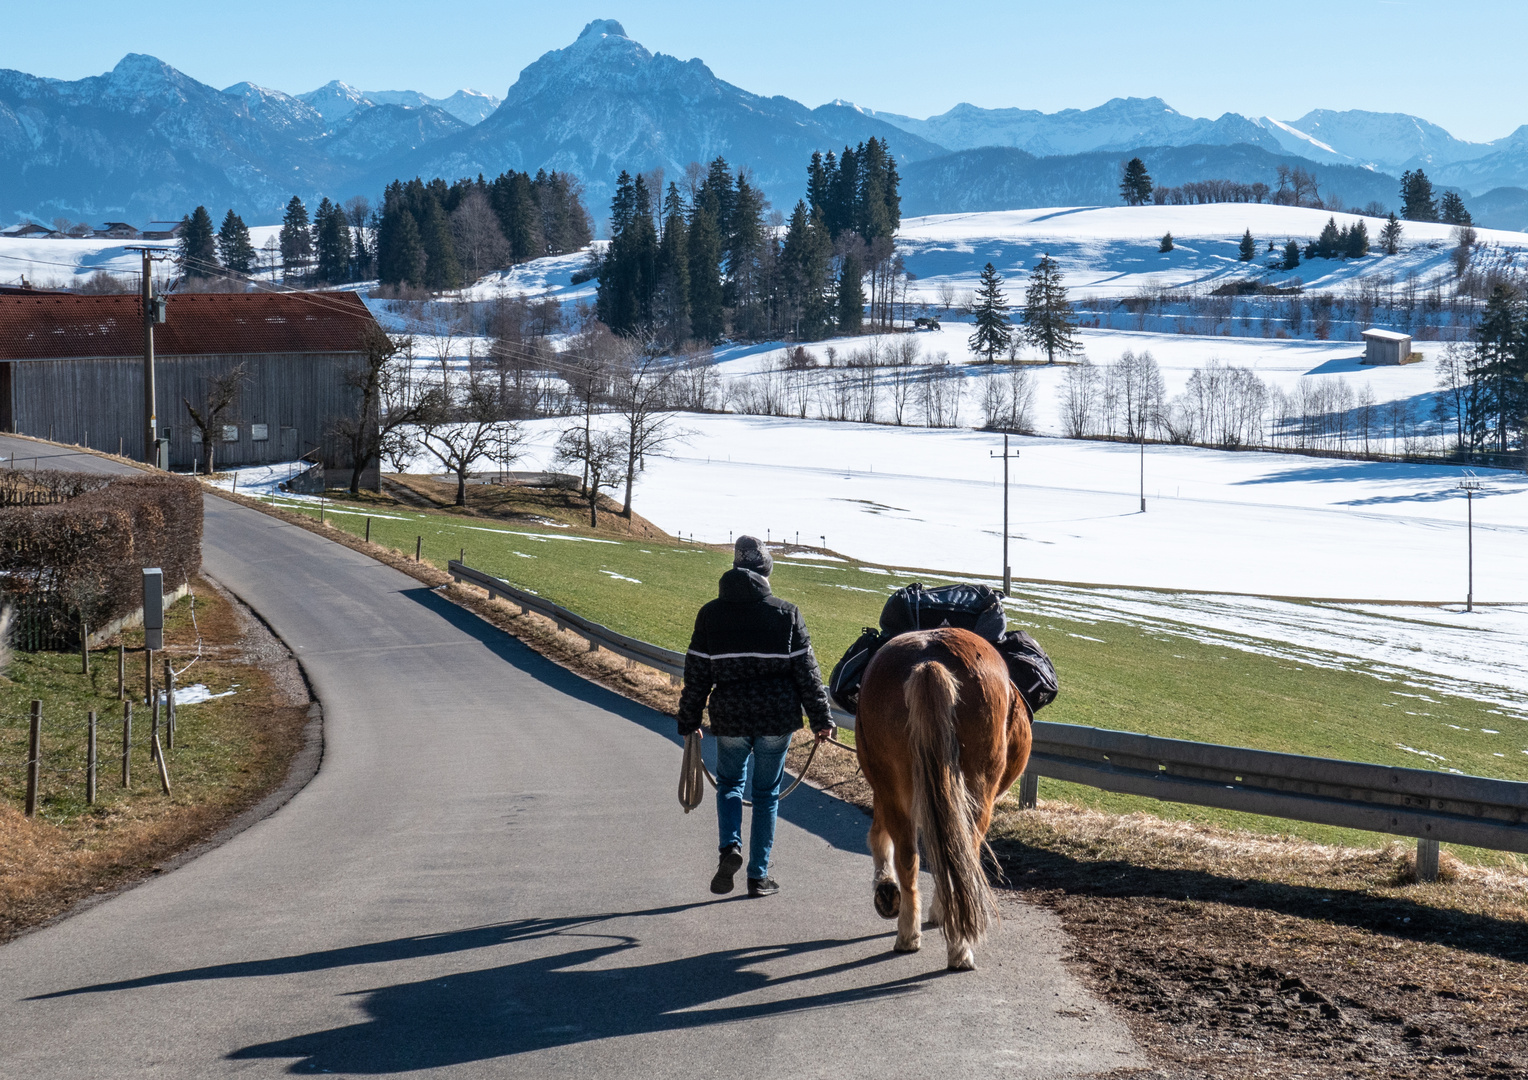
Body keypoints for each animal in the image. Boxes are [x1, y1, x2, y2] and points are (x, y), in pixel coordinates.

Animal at [855, 626, 1032, 971]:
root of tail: (930, 662)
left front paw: (888, 890)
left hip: (899, 789)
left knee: (913, 856)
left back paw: (921, 933)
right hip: (974, 795)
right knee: (958, 853)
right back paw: (947, 942)